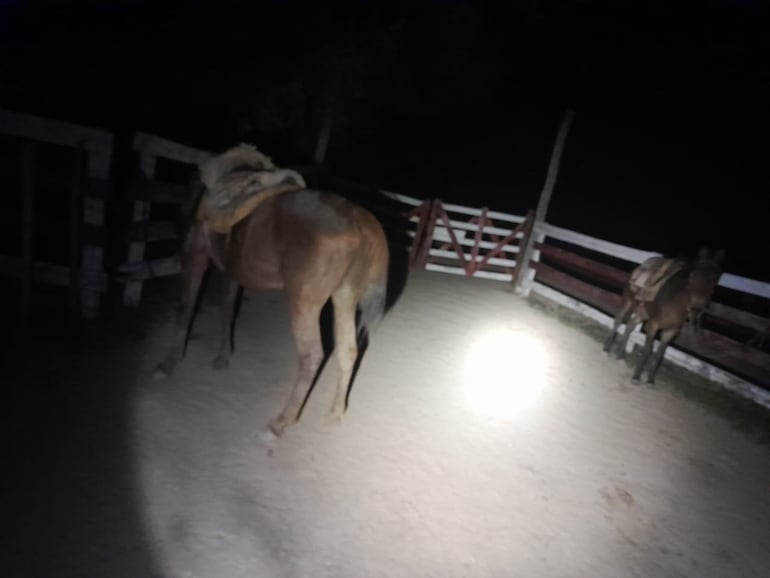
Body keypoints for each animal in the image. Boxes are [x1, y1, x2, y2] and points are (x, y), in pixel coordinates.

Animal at [158, 146, 408, 434]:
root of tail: (362, 223)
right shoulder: (232, 270)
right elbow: (227, 310)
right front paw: (222, 358)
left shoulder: (197, 254)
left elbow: (186, 307)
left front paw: (168, 363)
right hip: (344, 297)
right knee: (348, 351)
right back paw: (335, 412)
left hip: (305, 304)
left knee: (312, 356)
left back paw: (281, 421)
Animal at [604, 246, 724, 382]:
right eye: (693, 276)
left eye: (715, 280)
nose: (696, 307)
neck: (673, 303)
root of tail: (640, 267)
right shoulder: (652, 325)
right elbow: (648, 350)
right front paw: (637, 376)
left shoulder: (670, 331)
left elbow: (659, 355)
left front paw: (650, 379)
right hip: (628, 302)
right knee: (618, 320)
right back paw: (607, 348)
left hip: (642, 312)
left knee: (630, 325)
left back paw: (620, 354)